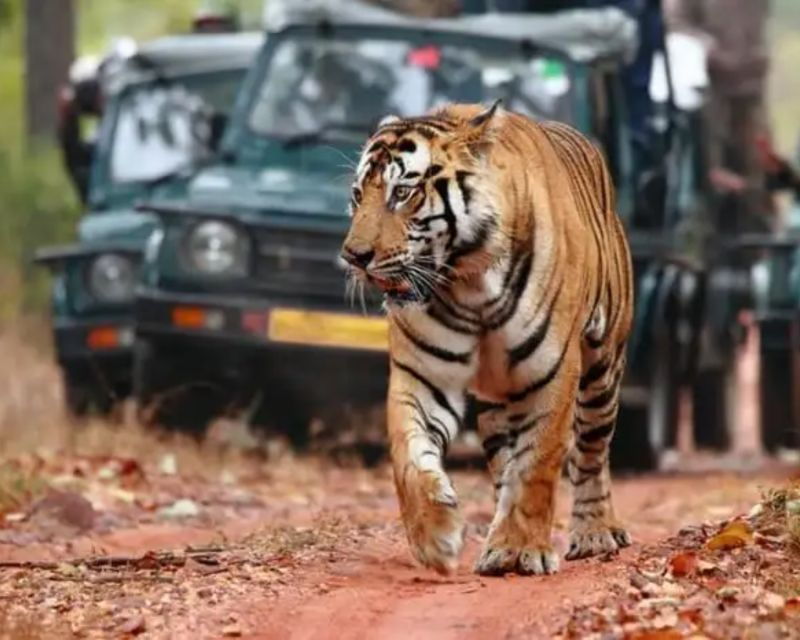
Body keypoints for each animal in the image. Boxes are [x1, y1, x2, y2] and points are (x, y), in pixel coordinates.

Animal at [340, 101, 634, 576]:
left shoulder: (552, 372)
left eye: (402, 193)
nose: (353, 256)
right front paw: (435, 537)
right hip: (500, 400)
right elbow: (408, 455)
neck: (468, 282)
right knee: (503, 460)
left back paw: (595, 533)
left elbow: (538, 463)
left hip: (602, 369)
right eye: (356, 194)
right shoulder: (422, 375)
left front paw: (523, 548)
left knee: (591, 452)